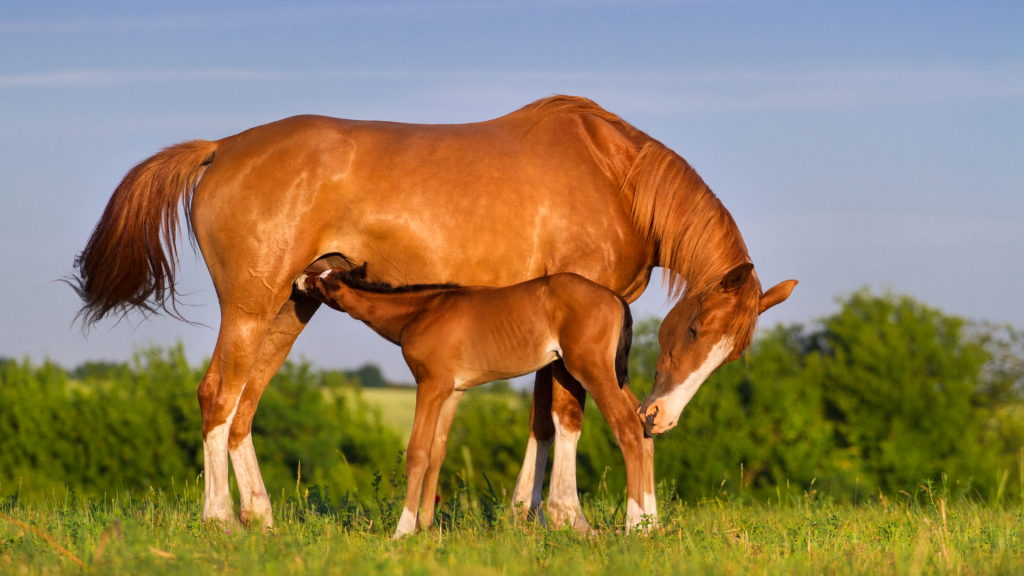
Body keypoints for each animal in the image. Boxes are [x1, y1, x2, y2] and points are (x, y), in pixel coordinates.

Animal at [296, 264, 644, 536]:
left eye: (322, 281)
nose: (298, 279)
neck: (423, 311)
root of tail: (615, 297)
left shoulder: (431, 385)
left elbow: (418, 453)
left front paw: (403, 530)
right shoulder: (453, 392)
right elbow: (437, 452)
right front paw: (425, 525)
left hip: (591, 370)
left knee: (628, 426)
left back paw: (635, 525)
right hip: (610, 375)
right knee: (643, 420)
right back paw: (647, 523)